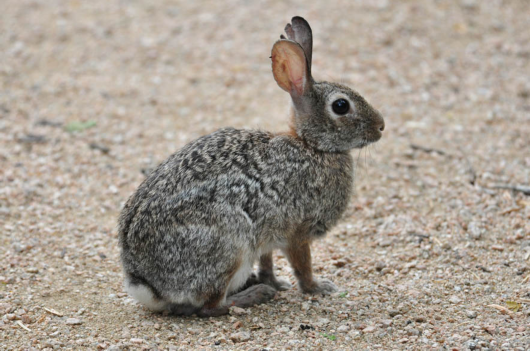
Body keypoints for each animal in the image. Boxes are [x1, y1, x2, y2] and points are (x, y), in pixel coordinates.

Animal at [118, 17, 384, 320]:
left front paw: (276, 281)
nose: (381, 126)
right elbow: (302, 265)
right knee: (211, 306)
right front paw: (317, 288)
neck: (312, 145)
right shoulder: (297, 231)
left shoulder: (267, 236)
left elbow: (267, 261)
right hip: (229, 245)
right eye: (341, 106)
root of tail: (146, 284)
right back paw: (254, 295)